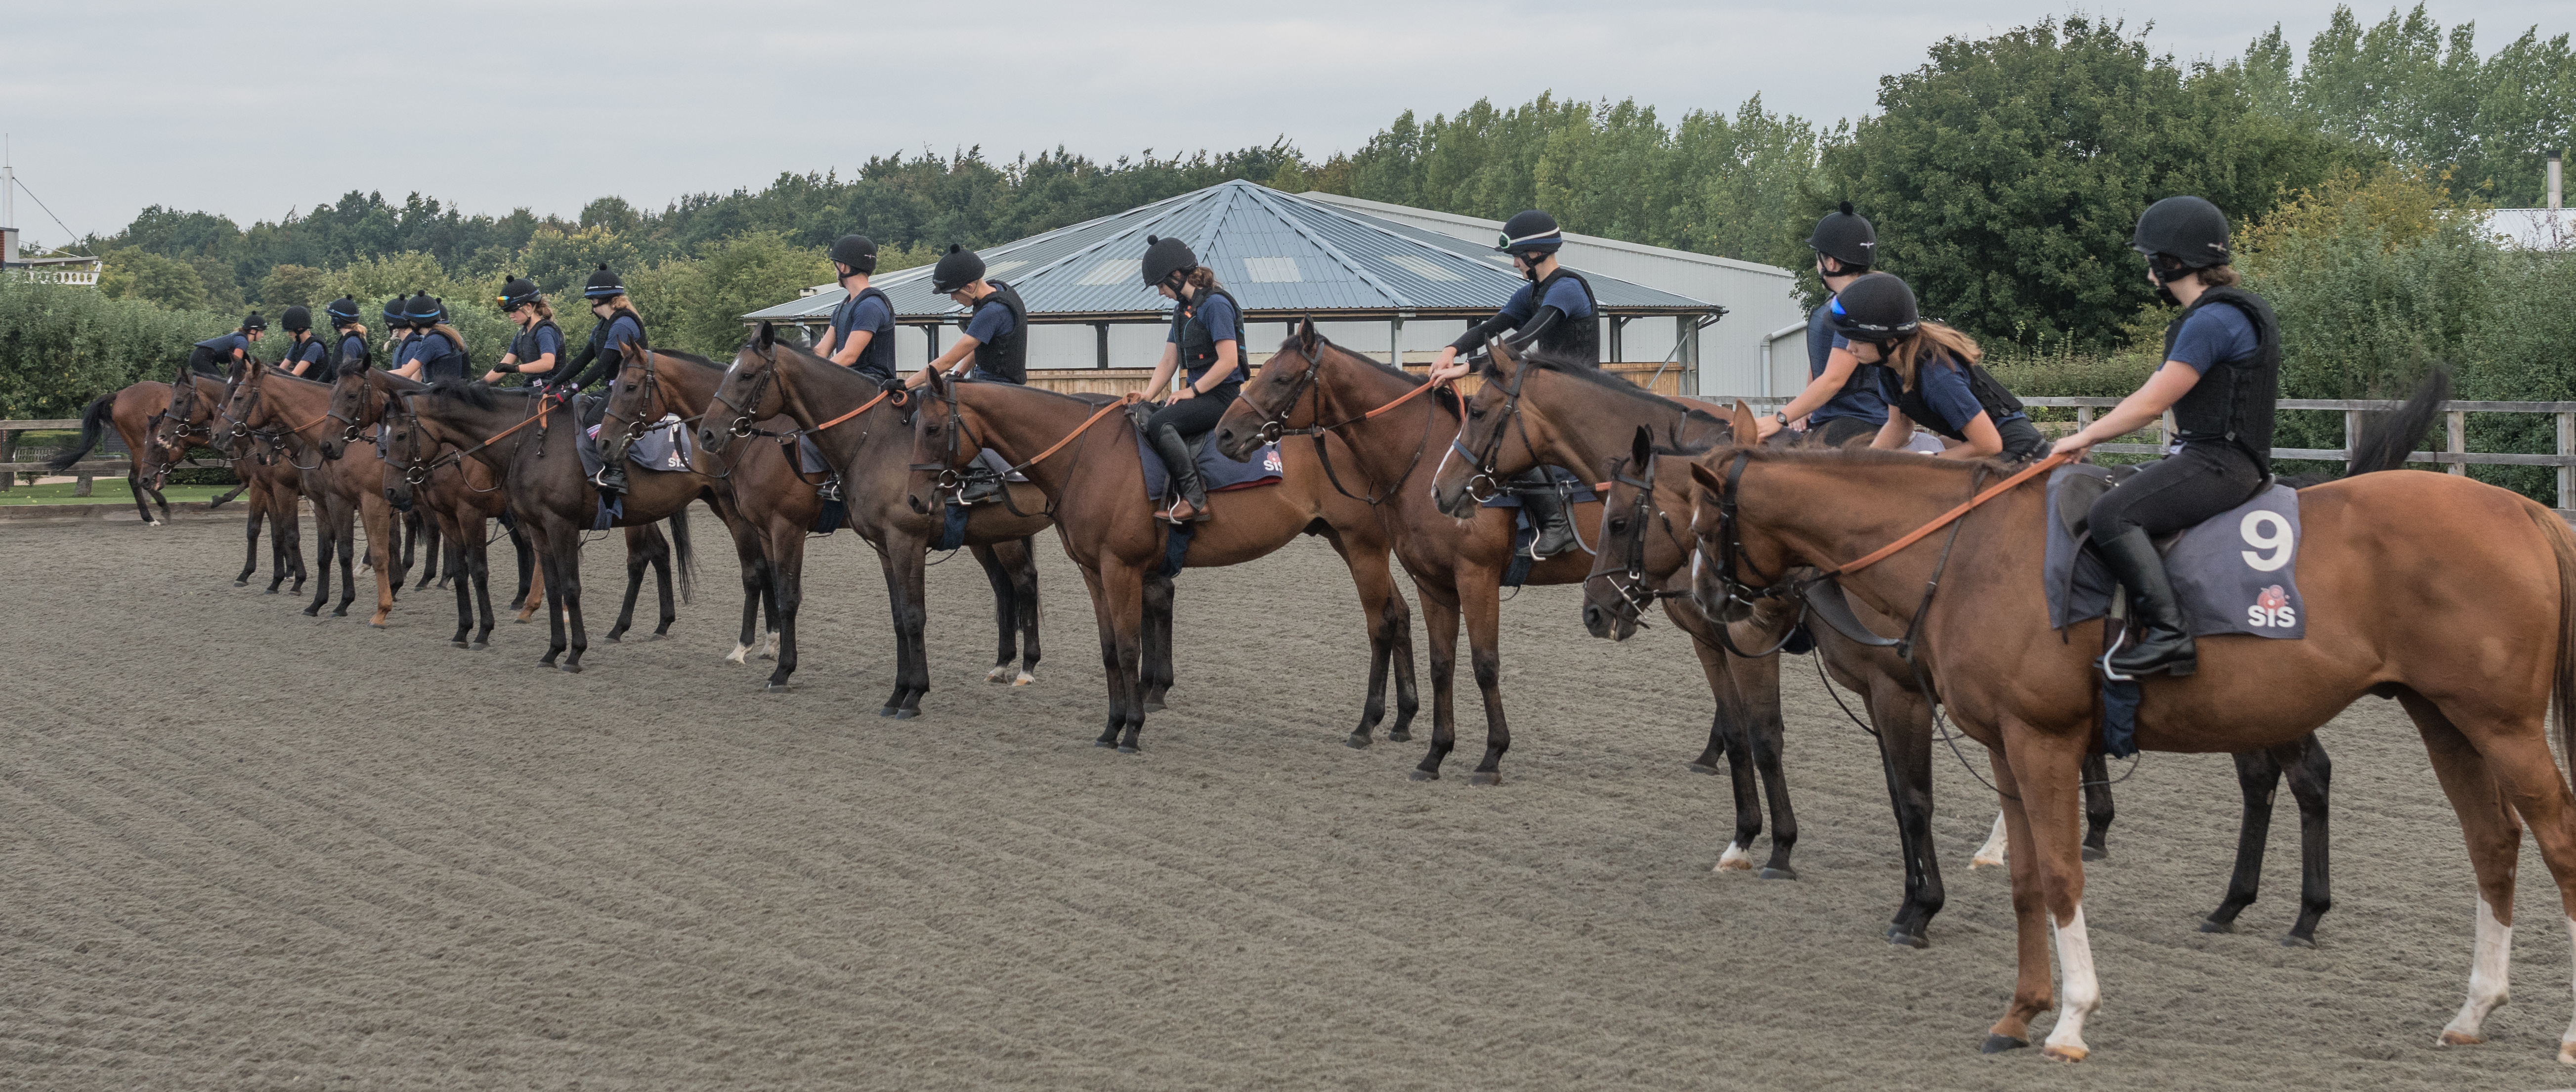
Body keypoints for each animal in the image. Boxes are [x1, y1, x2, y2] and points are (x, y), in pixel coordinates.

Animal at [695, 324, 1056, 705]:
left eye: (746, 375)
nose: (708, 433)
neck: (874, 441)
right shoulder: (873, 544)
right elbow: (896, 618)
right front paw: (900, 691)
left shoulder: (801, 529)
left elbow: (797, 598)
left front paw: (782, 669)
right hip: (990, 537)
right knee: (1006, 587)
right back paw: (1003, 663)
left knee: (1024, 582)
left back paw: (1026, 666)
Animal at [912, 365, 1432, 752]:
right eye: (916, 427)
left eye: (932, 427)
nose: (917, 499)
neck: (1088, 454)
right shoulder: (1093, 572)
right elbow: (1109, 650)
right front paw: (1111, 727)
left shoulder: (1120, 568)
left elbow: (1128, 648)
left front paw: (1133, 729)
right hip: (1349, 543)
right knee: (1401, 614)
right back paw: (1403, 718)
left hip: (1363, 546)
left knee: (1382, 624)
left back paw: (1368, 723)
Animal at [1205, 324, 1587, 783]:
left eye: (1281, 378)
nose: (1224, 434)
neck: (1429, 460)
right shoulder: (1434, 583)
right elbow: (1442, 663)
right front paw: (1436, 753)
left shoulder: (1476, 577)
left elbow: (1484, 664)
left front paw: (1492, 755)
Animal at [1679, 404, 2576, 1061]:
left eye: (1697, 521)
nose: (1709, 602)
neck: (1967, 548)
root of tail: (2529, 512)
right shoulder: (2006, 746)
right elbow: (2025, 881)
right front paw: (2019, 1011)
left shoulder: (2039, 741)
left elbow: (2062, 875)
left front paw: (2071, 1018)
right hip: (2445, 719)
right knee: (2492, 843)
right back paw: (2473, 1009)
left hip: (2501, 726)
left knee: (2556, 841)